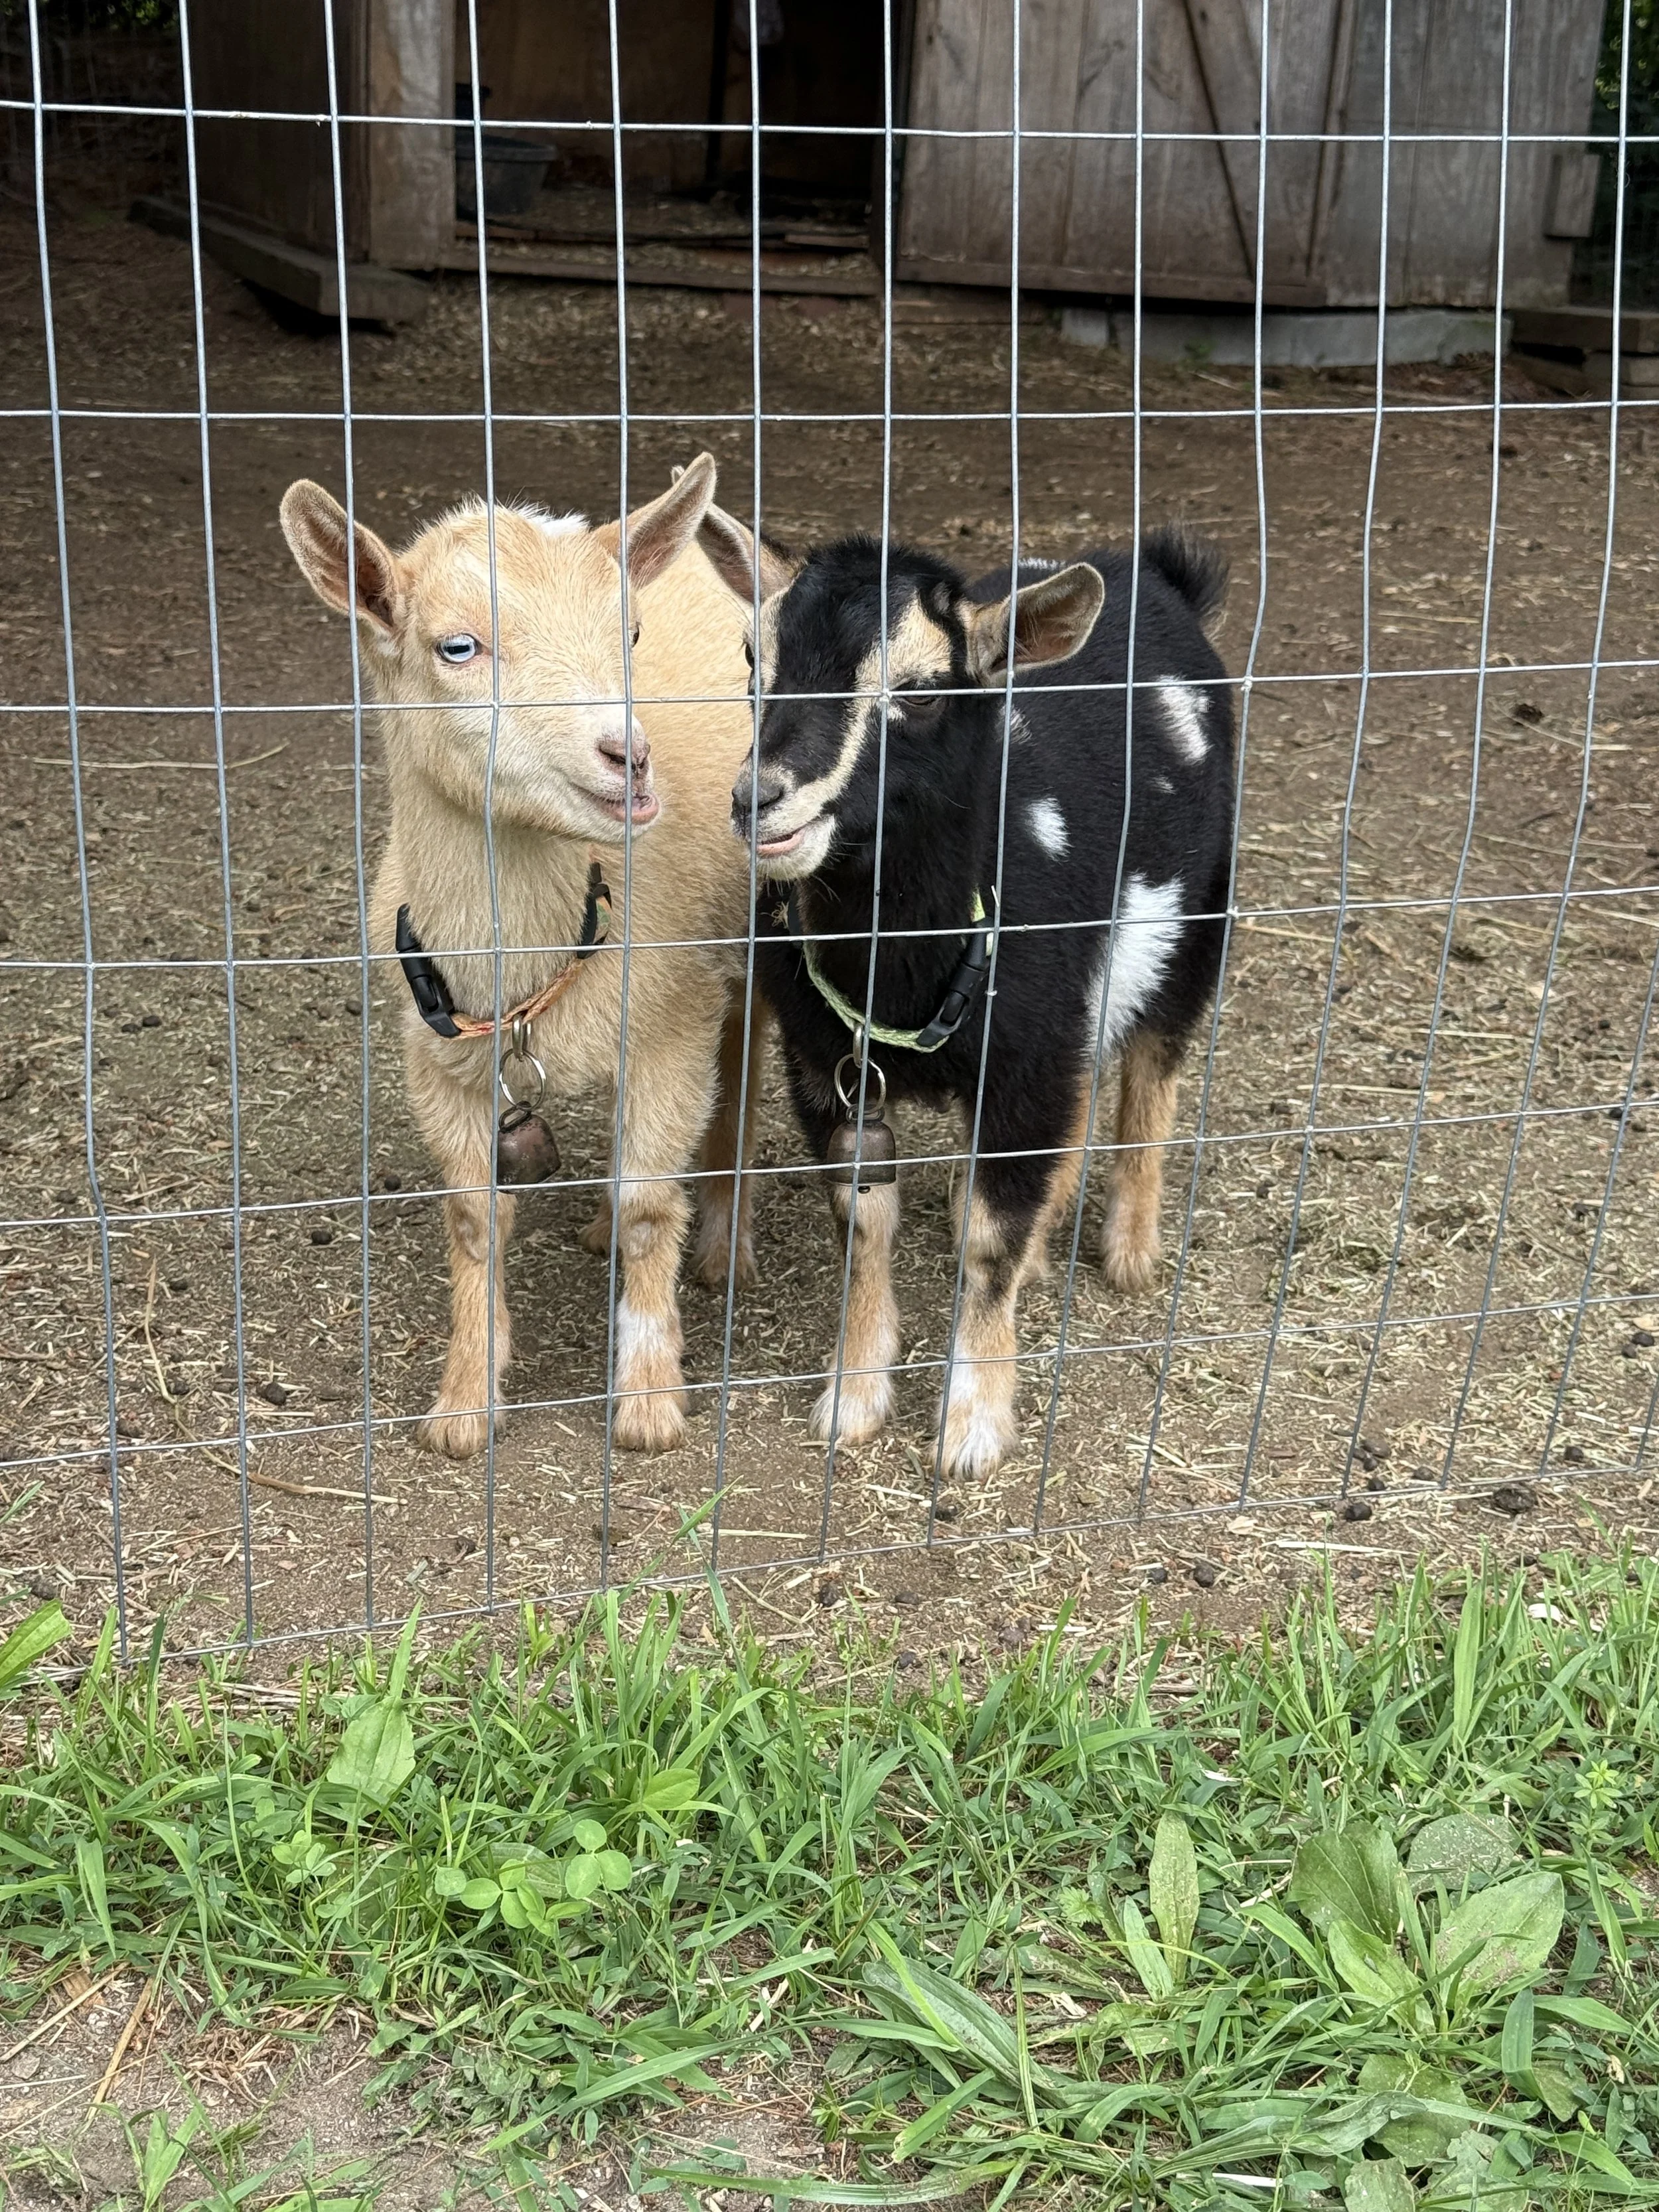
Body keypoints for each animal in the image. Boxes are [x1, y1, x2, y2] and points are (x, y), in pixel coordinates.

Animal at [279, 454, 763, 1458]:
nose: (631, 757)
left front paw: (649, 1402)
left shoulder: (671, 1030)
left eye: (630, 633)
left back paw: (722, 1248)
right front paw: (466, 1402)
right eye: (457, 648)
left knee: (739, 1074)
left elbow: (651, 1203)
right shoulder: (438, 1062)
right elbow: (475, 1218)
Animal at [697, 501, 1233, 1477]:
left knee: (1154, 1063)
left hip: (1201, 915)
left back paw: (1131, 1250)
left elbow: (992, 1240)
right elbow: (864, 1222)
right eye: (754, 658)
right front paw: (853, 1398)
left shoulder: (1021, 1060)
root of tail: (1149, 574)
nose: (761, 800)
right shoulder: (826, 1067)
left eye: (919, 688)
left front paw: (973, 1427)